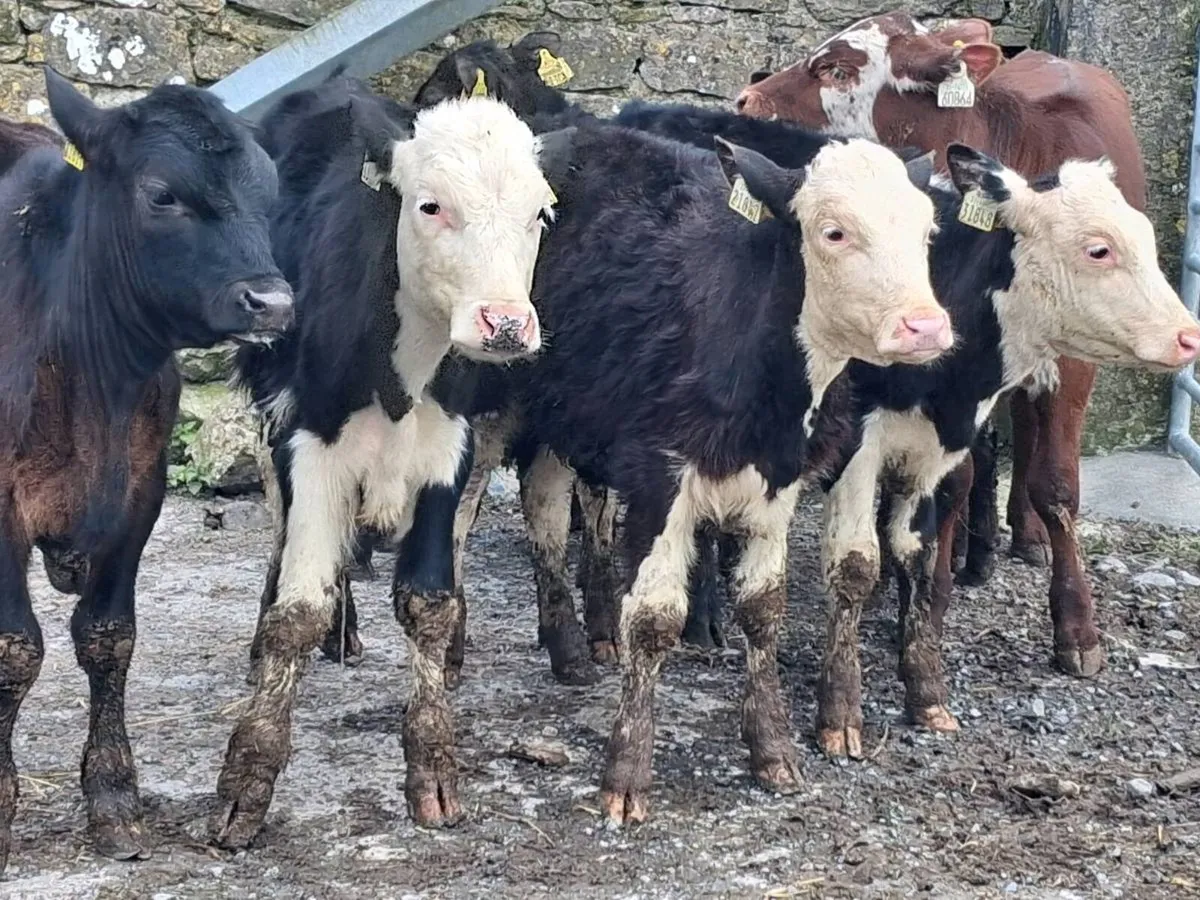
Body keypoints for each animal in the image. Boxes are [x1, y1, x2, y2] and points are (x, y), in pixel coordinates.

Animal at [0, 67, 293, 871]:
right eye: (163, 194)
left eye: (269, 185)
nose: (272, 302)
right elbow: (15, 650)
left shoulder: (140, 493)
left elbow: (108, 637)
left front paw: (113, 797)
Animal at [219, 77, 556, 846]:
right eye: (430, 205)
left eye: (542, 213)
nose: (505, 325)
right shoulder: (308, 443)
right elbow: (296, 611)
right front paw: (247, 781)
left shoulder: (449, 448)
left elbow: (429, 603)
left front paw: (433, 768)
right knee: (281, 534)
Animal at [735, 11, 1154, 678]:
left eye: (837, 67)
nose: (746, 99)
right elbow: (944, 481)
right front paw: (922, 599)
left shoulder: (1072, 361)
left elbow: (1058, 485)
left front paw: (1077, 627)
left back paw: (1023, 537)